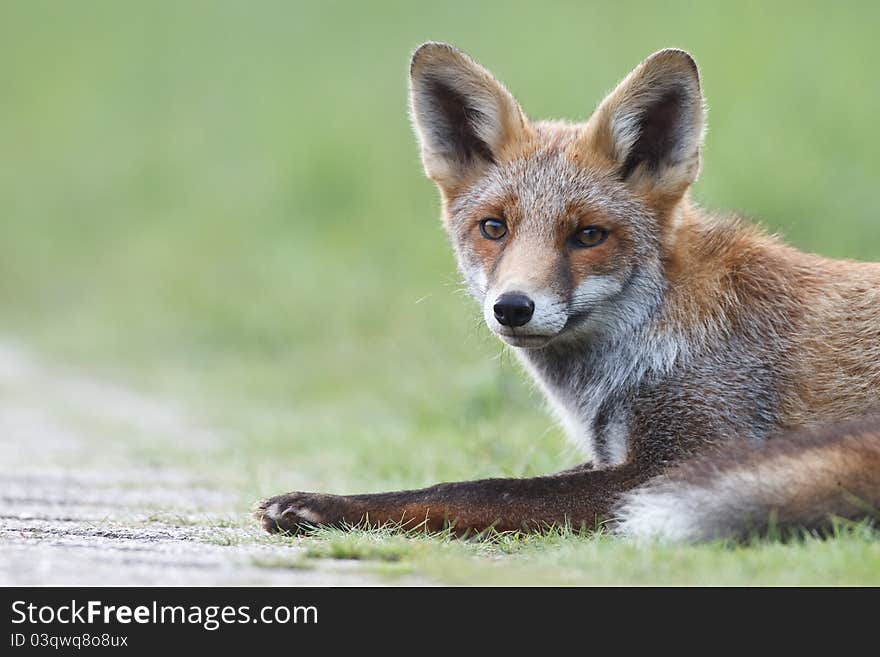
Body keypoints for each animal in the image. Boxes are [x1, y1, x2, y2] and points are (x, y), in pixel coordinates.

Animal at [260, 43, 880, 540]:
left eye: (588, 235)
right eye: (494, 227)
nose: (512, 307)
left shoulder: (691, 454)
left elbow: (482, 489)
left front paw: (325, 508)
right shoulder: (620, 457)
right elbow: (491, 482)